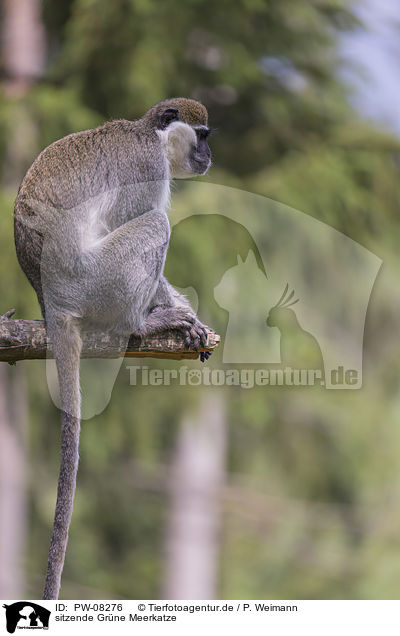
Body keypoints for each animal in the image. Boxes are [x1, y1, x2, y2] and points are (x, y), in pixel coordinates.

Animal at [14, 97, 216, 600]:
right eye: (202, 135)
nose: (210, 154)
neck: (150, 134)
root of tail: (51, 301)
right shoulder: (147, 168)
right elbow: (136, 216)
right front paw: (173, 313)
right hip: (97, 280)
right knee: (155, 224)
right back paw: (141, 323)